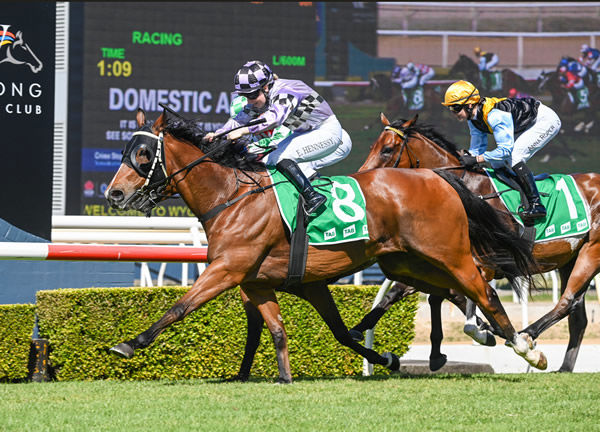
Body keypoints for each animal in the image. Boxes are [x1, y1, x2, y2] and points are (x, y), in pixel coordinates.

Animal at [105, 107, 548, 382]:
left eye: (143, 153)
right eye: (125, 150)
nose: (114, 194)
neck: (231, 196)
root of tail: (438, 176)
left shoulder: (227, 269)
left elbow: (180, 307)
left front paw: (128, 344)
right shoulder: (267, 281)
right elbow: (290, 329)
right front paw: (286, 375)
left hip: (450, 254)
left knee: (484, 291)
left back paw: (526, 347)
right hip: (407, 263)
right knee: (446, 292)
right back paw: (477, 340)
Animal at [358, 114, 600, 372]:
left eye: (387, 149)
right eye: (373, 146)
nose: (362, 177)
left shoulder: (483, 262)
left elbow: (463, 298)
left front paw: (484, 332)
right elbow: (401, 293)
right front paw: (358, 330)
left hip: (591, 252)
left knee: (567, 301)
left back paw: (527, 335)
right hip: (569, 259)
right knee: (577, 316)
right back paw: (563, 366)